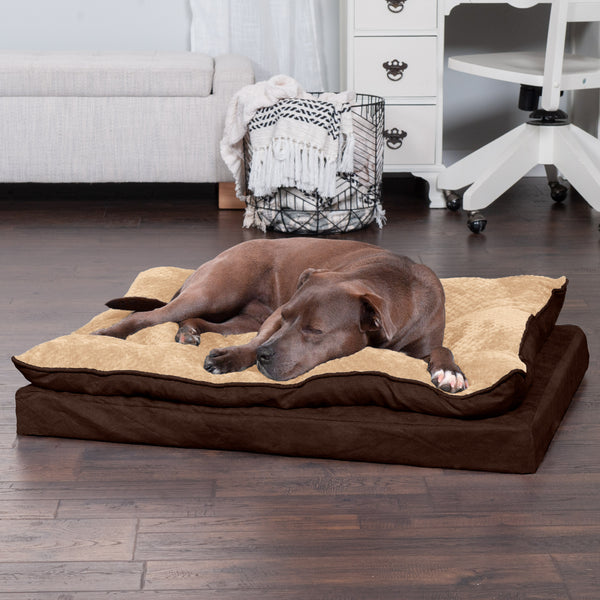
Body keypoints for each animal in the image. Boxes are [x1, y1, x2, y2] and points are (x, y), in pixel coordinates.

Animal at [94, 239, 468, 394]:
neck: (393, 283)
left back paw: (189, 333)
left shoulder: (425, 340)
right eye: (288, 317)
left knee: (199, 321)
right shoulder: (274, 317)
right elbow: (257, 341)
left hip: (241, 316)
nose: (264, 357)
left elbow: (442, 350)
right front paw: (232, 358)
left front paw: (450, 372)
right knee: (151, 315)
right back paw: (106, 335)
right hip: (215, 292)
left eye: (315, 331)